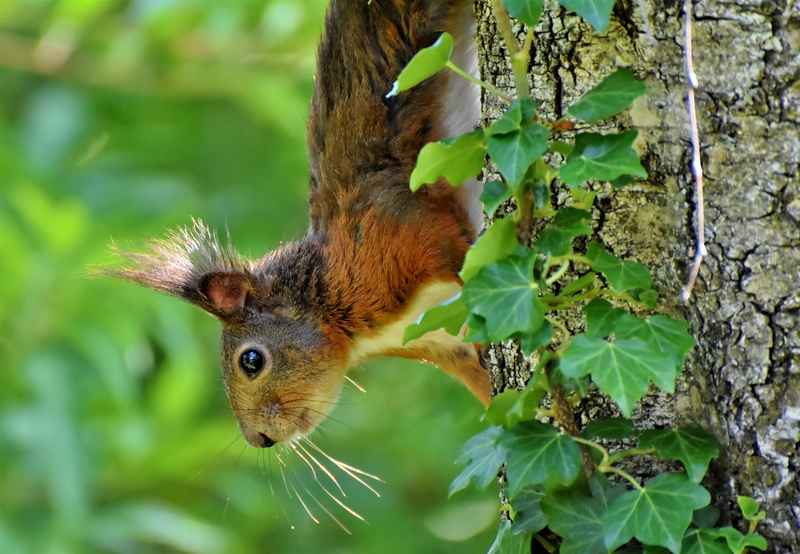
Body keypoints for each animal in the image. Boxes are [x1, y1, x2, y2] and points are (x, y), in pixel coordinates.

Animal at [108, 0, 491, 448]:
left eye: (251, 360)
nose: (258, 439)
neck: (327, 286)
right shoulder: (441, 338)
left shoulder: (407, 230)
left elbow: (463, 255)